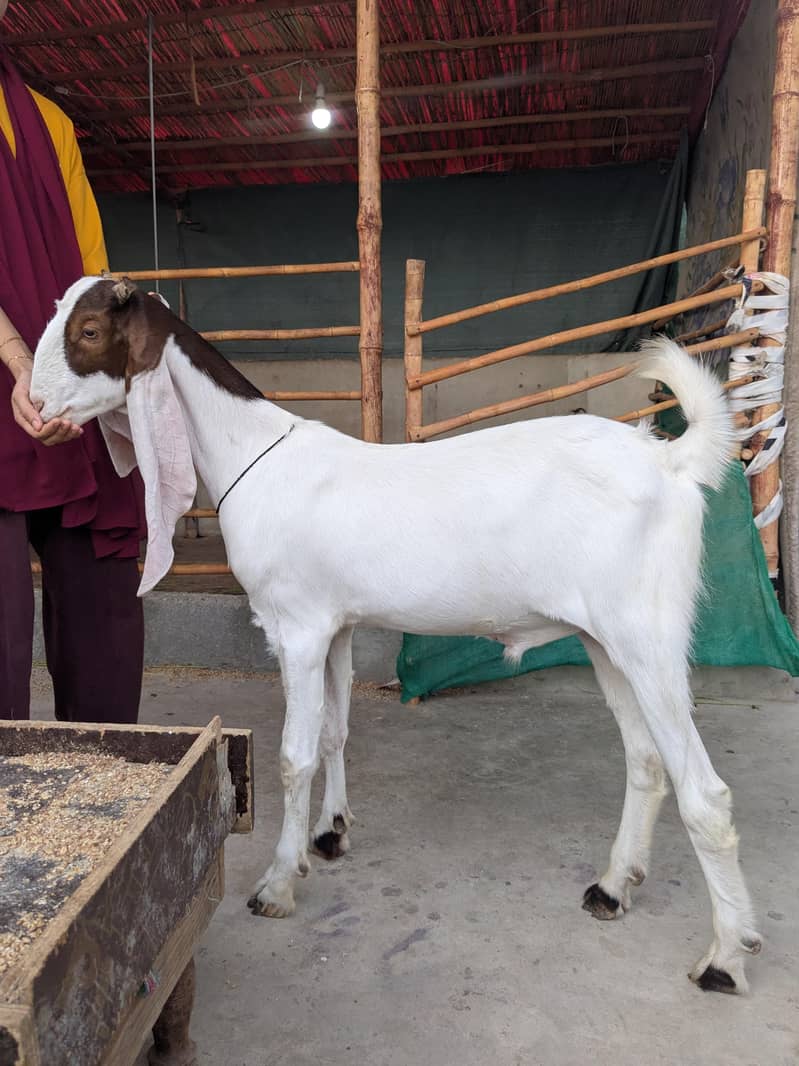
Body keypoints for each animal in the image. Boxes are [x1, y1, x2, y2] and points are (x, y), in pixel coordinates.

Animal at [30, 275, 761, 994]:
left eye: (88, 331)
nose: (34, 407)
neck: (254, 455)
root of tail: (670, 462)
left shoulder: (297, 628)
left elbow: (294, 755)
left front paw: (277, 882)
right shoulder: (336, 626)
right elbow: (334, 731)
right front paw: (330, 834)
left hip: (647, 632)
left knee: (705, 792)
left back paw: (725, 955)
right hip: (604, 640)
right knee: (645, 761)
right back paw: (613, 887)